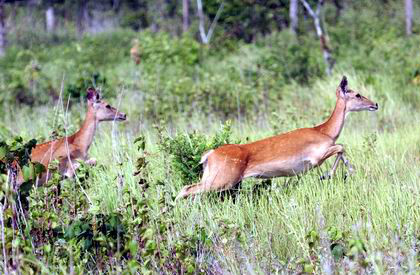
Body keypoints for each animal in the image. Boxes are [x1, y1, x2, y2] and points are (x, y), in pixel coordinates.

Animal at [176, 76, 378, 201]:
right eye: (357, 94)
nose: (375, 104)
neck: (324, 131)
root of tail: (209, 155)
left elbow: (342, 149)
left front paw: (345, 172)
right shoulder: (316, 158)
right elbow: (341, 147)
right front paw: (328, 175)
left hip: (213, 178)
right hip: (222, 180)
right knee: (186, 189)